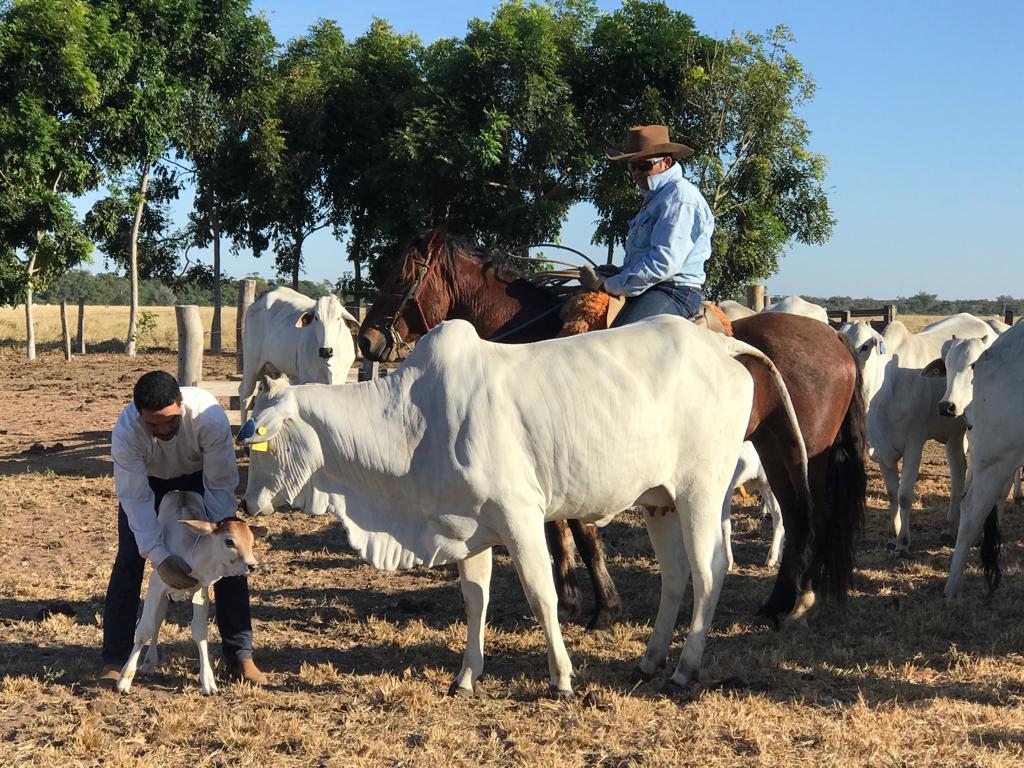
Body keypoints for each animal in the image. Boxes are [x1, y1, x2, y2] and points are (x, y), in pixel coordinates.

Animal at [358, 227, 867, 630]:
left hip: (799, 453)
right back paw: (781, 604)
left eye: (403, 274)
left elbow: (583, 532)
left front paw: (605, 608)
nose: (367, 339)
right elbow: (557, 531)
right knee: (800, 515)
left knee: (809, 514)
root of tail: (835, 339)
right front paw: (569, 602)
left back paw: (792, 604)